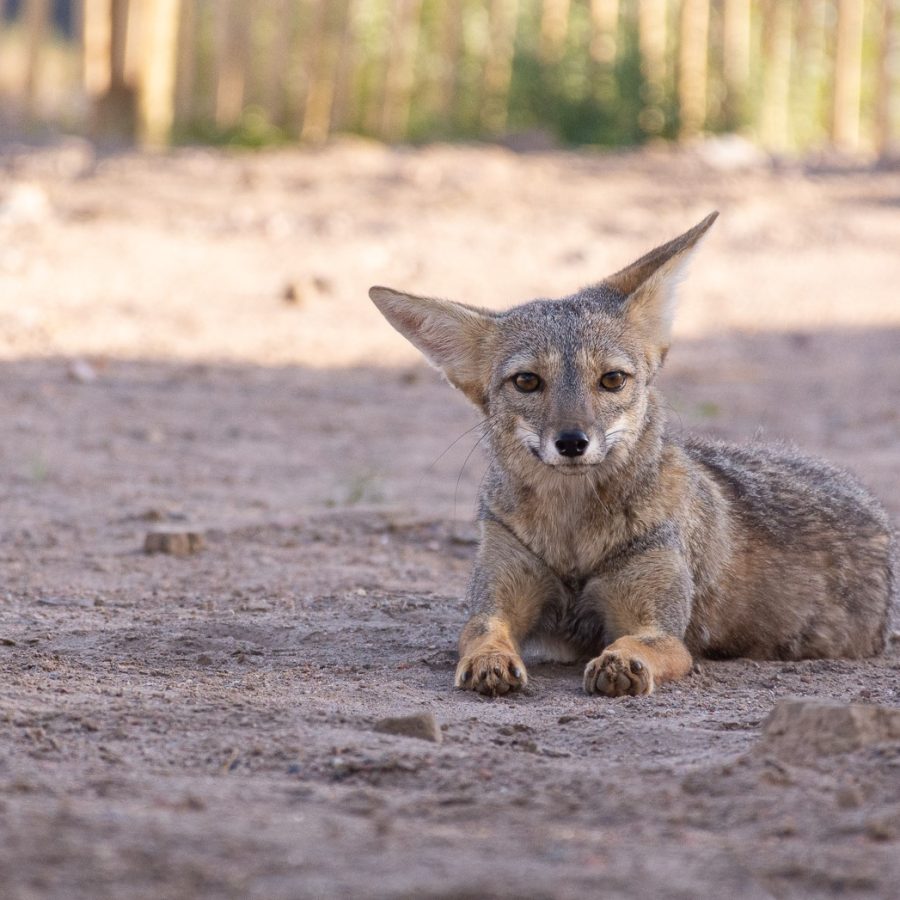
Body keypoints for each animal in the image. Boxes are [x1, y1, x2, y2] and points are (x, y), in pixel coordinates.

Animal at [369, 212, 896, 698]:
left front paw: (621, 663)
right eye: (527, 381)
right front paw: (490, 661)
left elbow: (641, 643)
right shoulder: (497, 595)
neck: (573, 538)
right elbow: (482, 631)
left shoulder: (663, 629)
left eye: (612, 379)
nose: (572, 442)